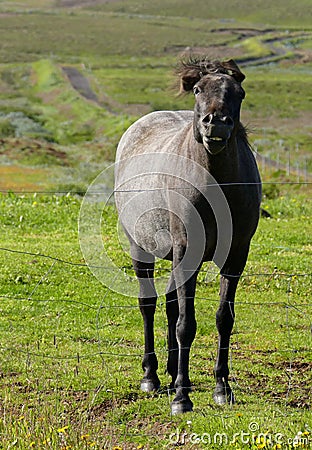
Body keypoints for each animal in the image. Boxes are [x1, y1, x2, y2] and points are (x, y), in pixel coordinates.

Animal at [114, 57, 260, 414]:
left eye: (239, 93)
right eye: (197, 90)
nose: (216, 124)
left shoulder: (236, 256)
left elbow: (223, 319)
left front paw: (222, 387)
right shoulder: (187, 252)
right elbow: (186, 324)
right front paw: (182, 397)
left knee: (169, 305)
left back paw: (171, 372)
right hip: (142, 249)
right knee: (149, 305)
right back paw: (152, 377)